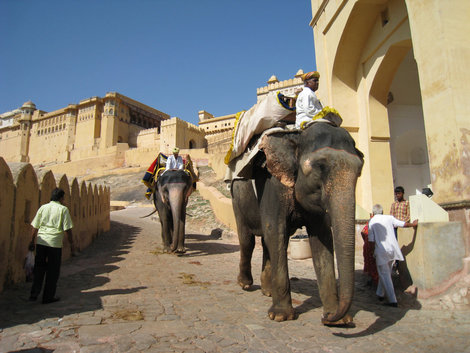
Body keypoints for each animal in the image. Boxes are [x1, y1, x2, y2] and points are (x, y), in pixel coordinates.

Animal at [231, 119, 364, 324]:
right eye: (320, 167)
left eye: (359, 171)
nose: (327, 318)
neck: (297, 136)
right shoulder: (272, 182)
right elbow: (275, 229)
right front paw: (280, 316)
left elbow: (323, 237)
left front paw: (338, 321)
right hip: (237, 198)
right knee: (248, 240)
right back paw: (245, 285)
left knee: (267, 241)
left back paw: (267, 291)